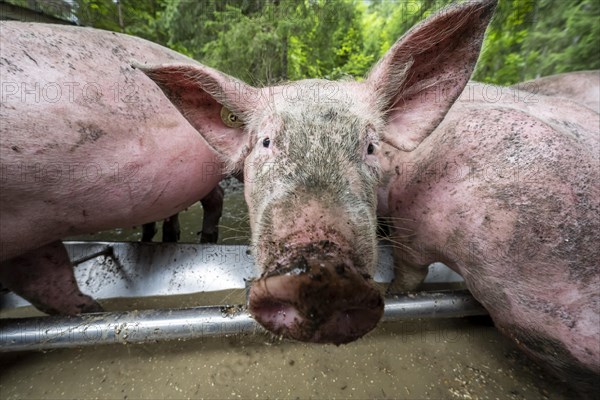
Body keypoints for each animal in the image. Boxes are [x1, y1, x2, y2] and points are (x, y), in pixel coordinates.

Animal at [0, 22, 234, 316]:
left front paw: (94, 309)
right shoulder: (32, 226)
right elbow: (47, 281)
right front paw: (93, 309)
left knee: (215, 200)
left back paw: (205, 239)